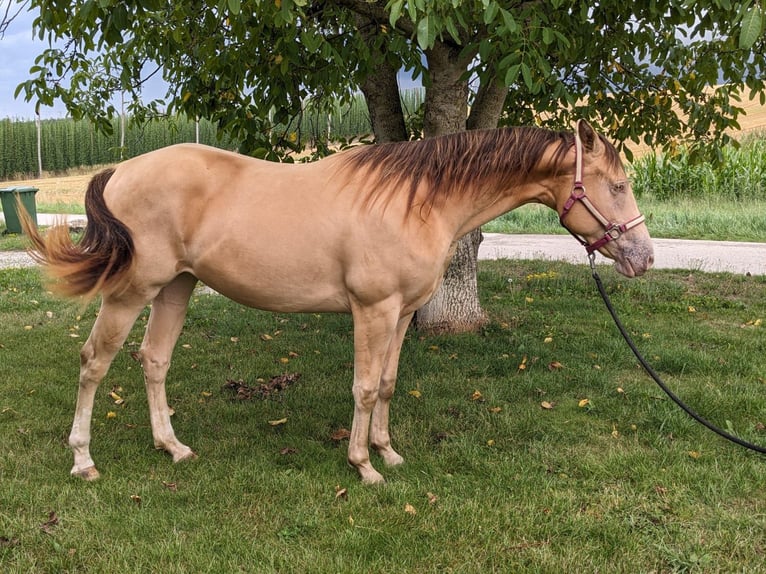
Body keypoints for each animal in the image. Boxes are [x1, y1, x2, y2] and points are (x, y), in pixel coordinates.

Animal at [22, 120, 656, 486]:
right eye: (618, 185)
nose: (643, 257)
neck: (417, 201)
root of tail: (120, 171)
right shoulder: (372, 310)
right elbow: (365, 386)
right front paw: (363, 467)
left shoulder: (401, 313)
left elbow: (390, 383)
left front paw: (387, 452)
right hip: (132, 292)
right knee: (94, 364)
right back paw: (83, 461)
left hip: (176, 288)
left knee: (153, 362)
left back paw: (173, 448)